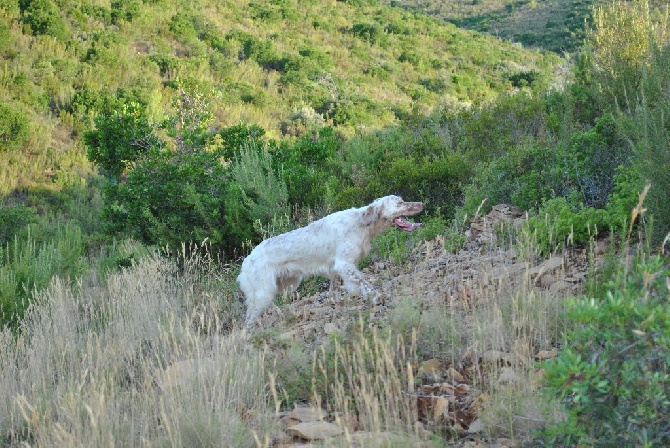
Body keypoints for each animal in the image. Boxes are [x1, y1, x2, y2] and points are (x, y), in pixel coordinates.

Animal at [239, 195, 422, 326]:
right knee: (250, 317)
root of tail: (246, 262)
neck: (362, 223)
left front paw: (337, 303)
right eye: (400, 203)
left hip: (281, 285)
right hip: (264, 290)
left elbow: (334, 289)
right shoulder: (344, 264)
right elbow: (363, 282)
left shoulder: (335, 269)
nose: (421, 204)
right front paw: (377, 297)